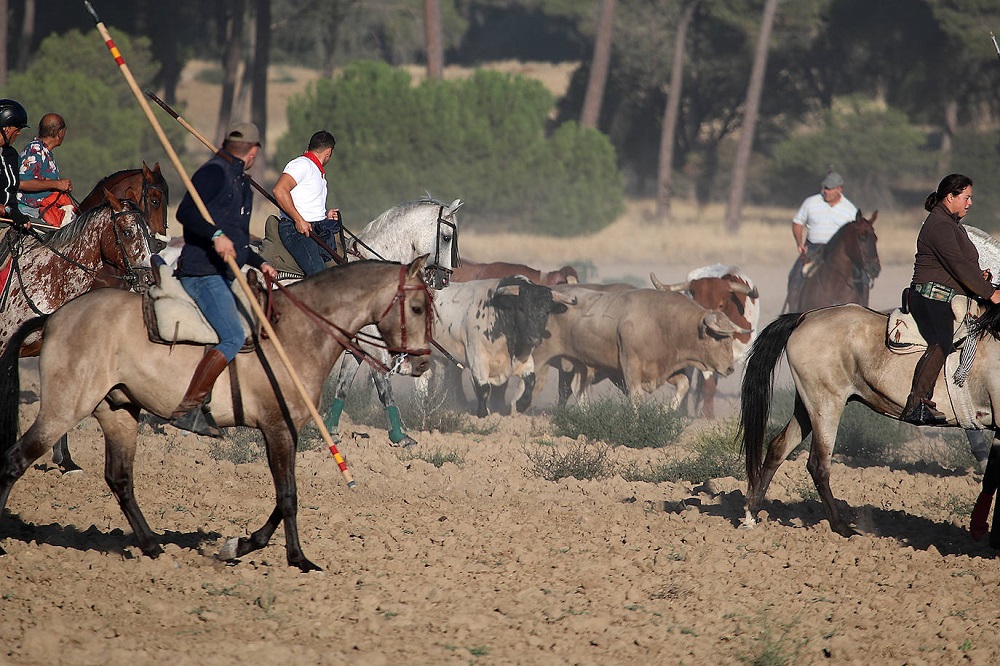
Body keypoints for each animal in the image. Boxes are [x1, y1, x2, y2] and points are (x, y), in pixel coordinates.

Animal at [1, 256, 436, 568]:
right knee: (15, 461)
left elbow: (282, 497)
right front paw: (299, 560)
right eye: (417, 307)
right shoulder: (277, 427)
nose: (421, 364)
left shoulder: (287, 431)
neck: (294, 333)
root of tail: (54, 318)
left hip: (118, 412)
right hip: (63, 409)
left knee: (120, 479)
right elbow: (288, 495)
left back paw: (154, 548)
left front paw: (241, 545)